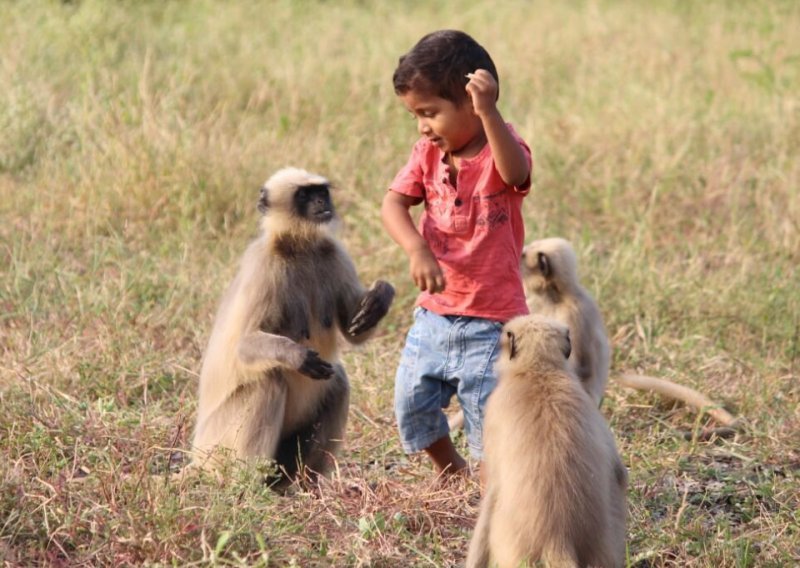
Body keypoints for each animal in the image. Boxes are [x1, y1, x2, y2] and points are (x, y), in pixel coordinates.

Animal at [194, 166, 394, 486]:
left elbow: (353, 332)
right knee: (268, 382)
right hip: (216, 446)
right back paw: (250, 483)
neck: (299, 246)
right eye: (304, 195)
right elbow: (242, 346)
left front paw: (379, 299)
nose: (322, 203)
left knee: (338, 381)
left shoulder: (334, 253)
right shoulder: (263, 267)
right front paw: (294, 355)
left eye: (321, 192)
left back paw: (303, 484)